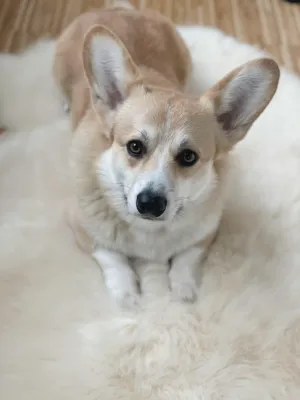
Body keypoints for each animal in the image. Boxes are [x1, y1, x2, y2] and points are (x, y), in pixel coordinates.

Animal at [53, 2, 278, 306]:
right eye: (135, 146)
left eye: (188, 157)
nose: (150, 203)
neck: (150, 232)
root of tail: (117, 8)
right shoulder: (82, 228)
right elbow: (113, 259)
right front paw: (127, 296)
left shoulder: (206, 234)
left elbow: (185, 259)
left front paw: (183, 290)